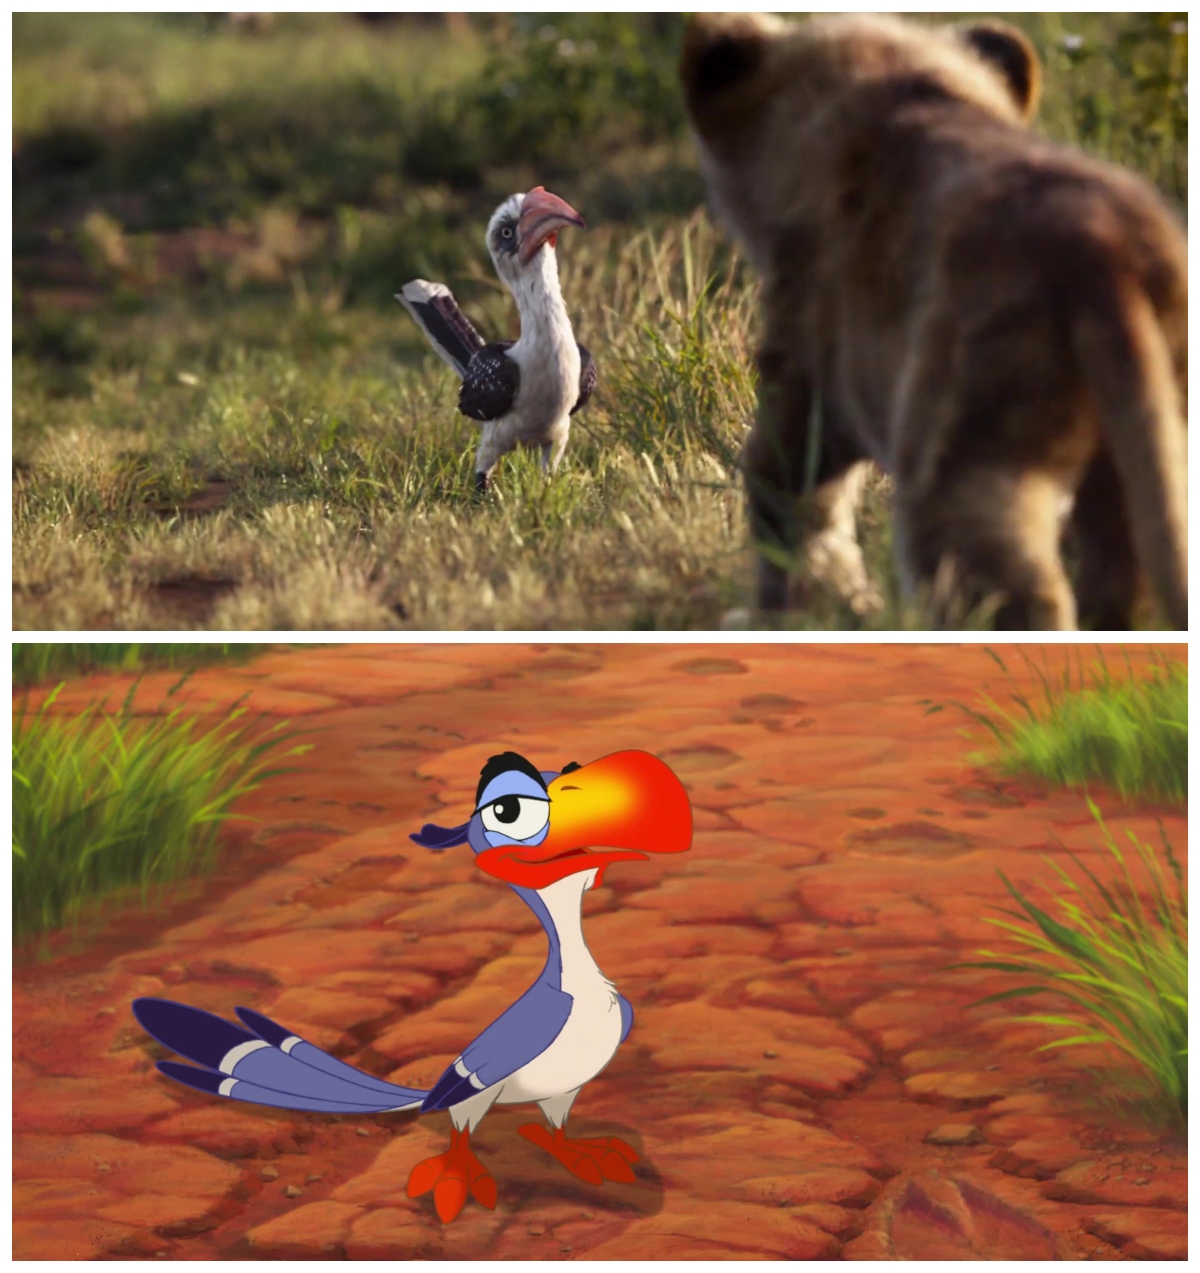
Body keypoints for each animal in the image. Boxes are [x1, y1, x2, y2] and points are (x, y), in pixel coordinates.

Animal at [681, 13, 1187, 630]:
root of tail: (1105, 254)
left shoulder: (809, 357)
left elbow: (787, 487)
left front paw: (802, 610)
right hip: (1147, 420)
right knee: (1123, 564)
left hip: (965, 412)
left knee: (997, 566)